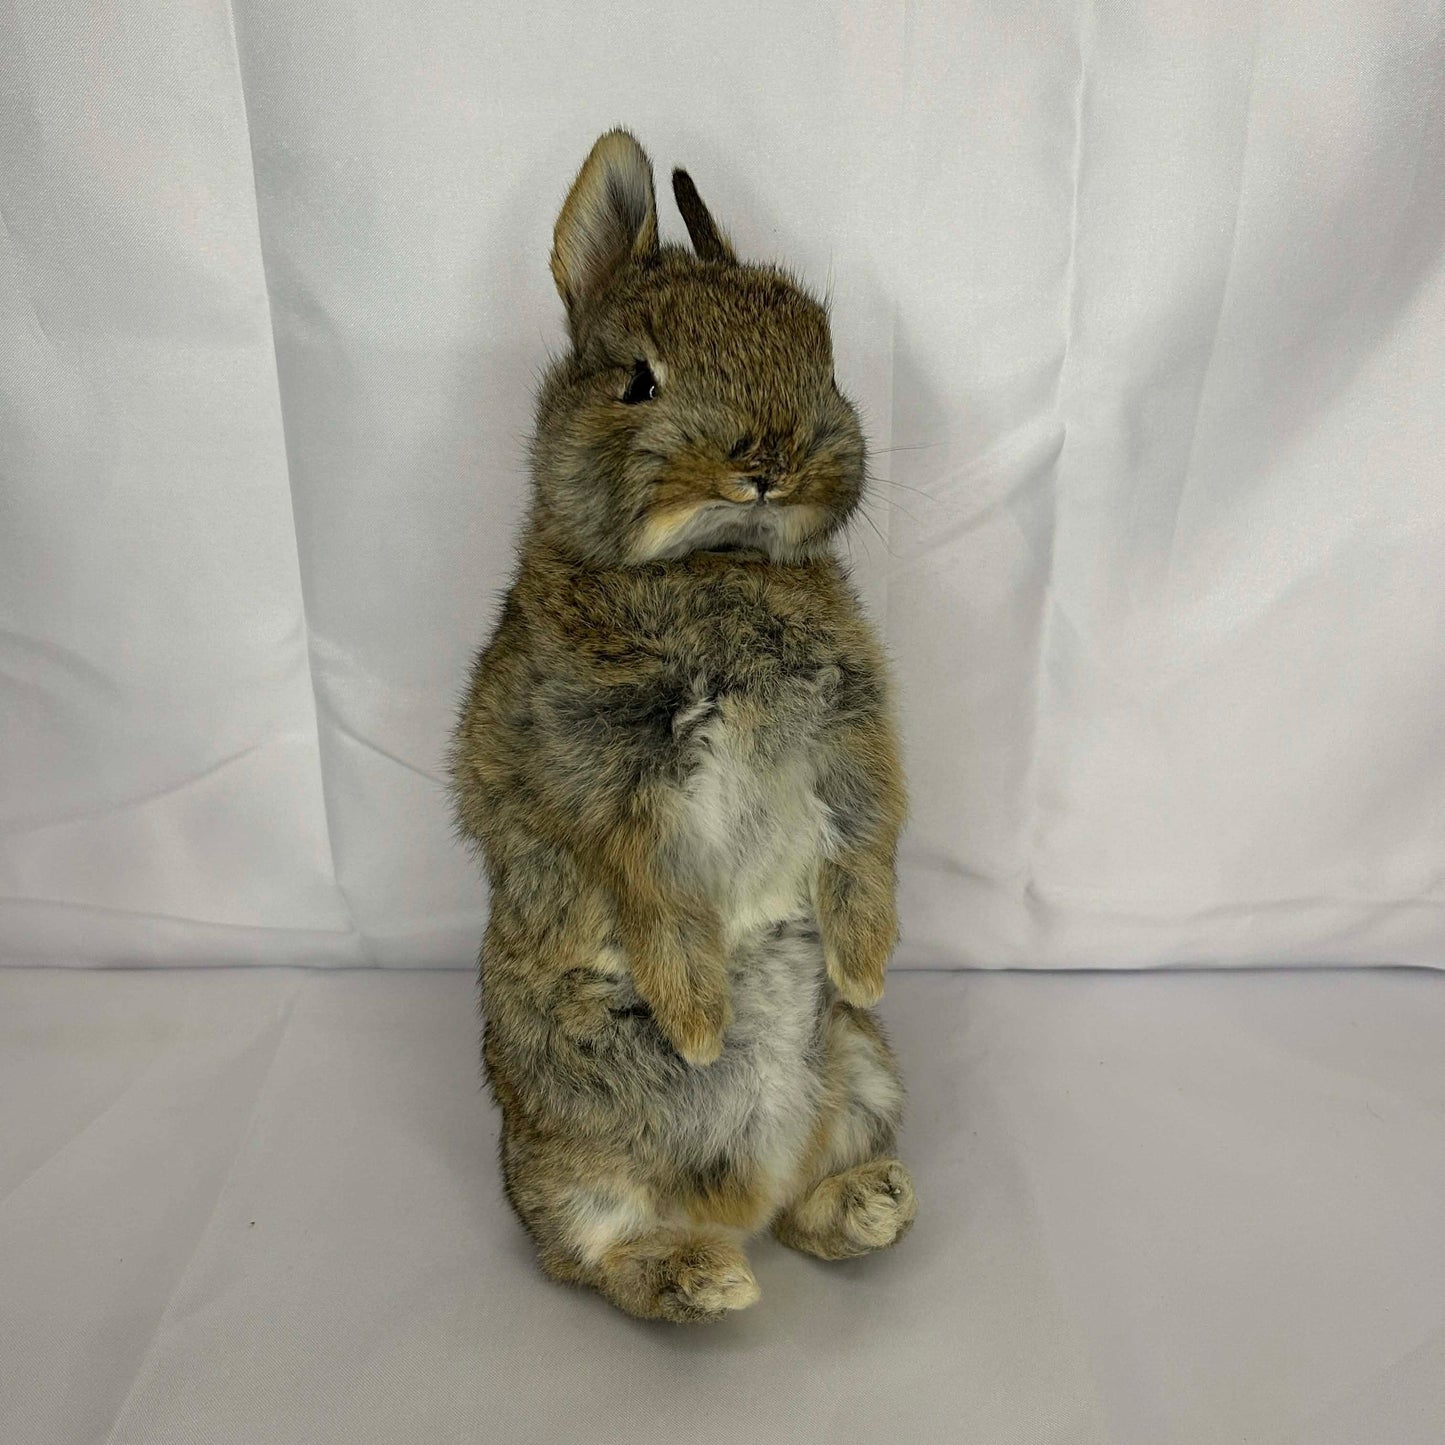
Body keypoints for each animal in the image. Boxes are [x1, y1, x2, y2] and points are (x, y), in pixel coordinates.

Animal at [449, 129, 914, 1323]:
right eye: (636, 381)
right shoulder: (612, 781)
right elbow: (657, 896)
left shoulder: (852, 738)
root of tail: (736, 1196)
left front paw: (863, 966)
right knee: (591, 1253)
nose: (769, 457)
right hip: (569, 1147)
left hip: (863, 1073)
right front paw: (701, 1023)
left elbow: (867, 844)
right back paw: (705, 1276)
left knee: (803, 1199)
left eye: (820, 355)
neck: (715, 562)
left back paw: (871, 1201)